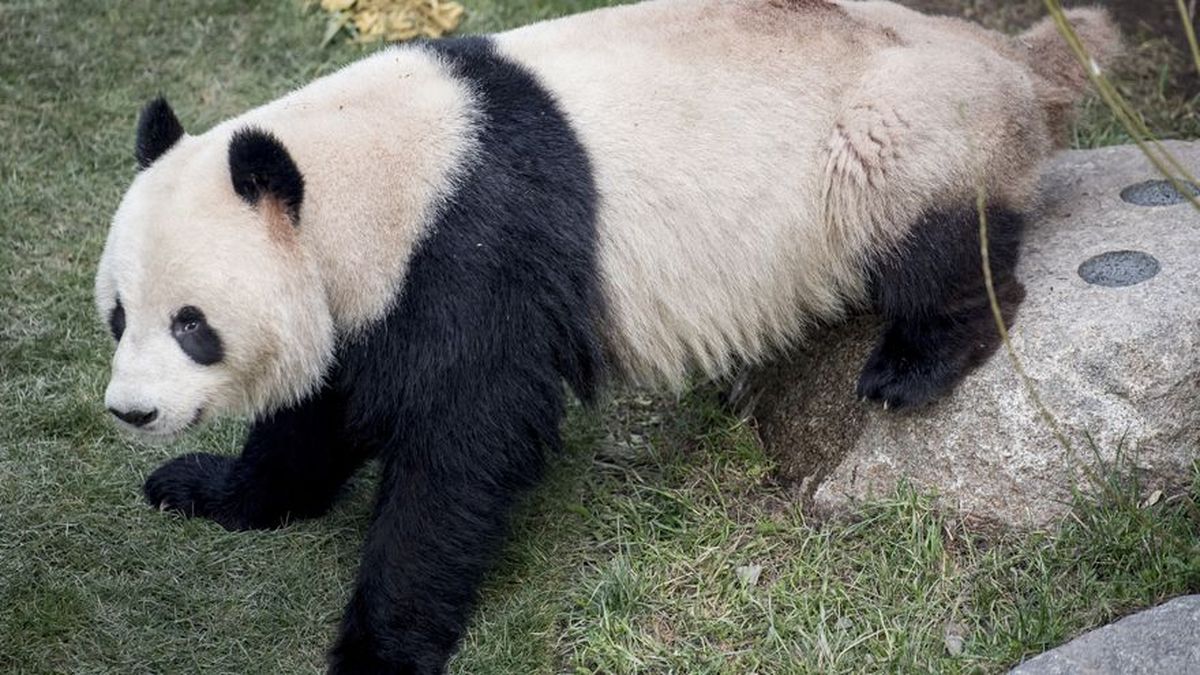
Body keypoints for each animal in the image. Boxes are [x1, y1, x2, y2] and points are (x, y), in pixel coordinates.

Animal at [96, 2, 1123, 667]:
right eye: (118, 313)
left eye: (193, 326)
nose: (131, 412)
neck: (372, 171)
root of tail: (1017, 56)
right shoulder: (379, 291)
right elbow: (323, 409)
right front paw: (209, 489)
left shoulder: (473, 250)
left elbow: (464, 445)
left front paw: (378, 645)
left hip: (902, 129)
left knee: (934, 232)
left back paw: (916, 361)